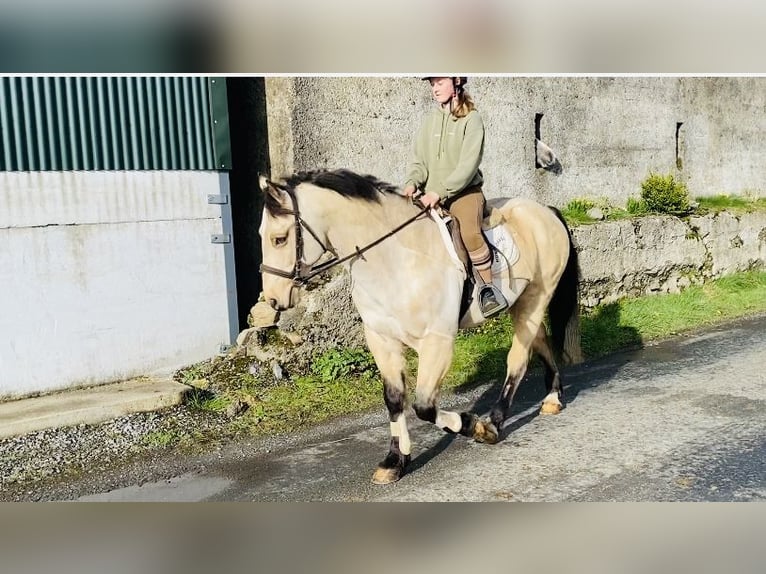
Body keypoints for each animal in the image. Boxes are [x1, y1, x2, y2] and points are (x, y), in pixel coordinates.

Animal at [258, 168, 584, 486]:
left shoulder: (438, 341)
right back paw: (552, 397)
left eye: (279, 239)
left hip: (538, 296)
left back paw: (493, 423)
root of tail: (544, 210)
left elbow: (424, 406)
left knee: (518, 358)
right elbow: (394, 400)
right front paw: (394, 462)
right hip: (523, 302)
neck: (395, 261)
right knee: (539, 340)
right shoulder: (381, 339)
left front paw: (471, 425)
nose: (273, 299)